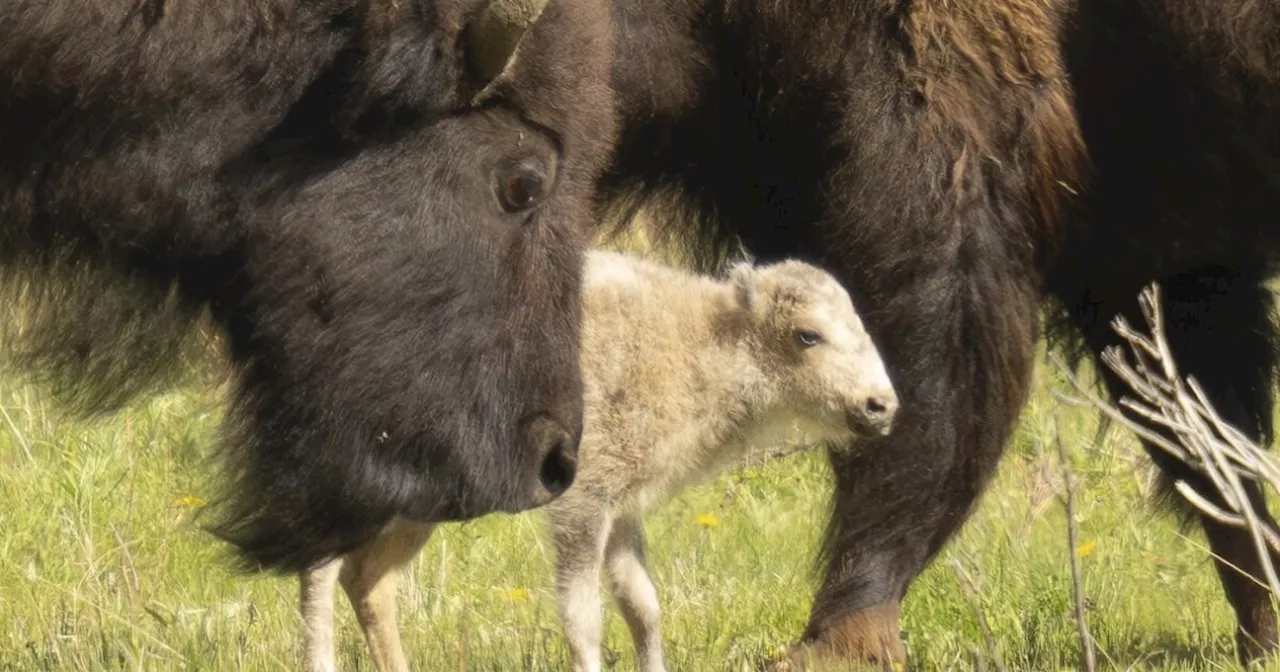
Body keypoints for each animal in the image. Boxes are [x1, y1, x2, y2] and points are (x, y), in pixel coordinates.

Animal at [299, 248, 901, 670]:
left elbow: (642, 605)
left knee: (368, 581)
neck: (703, 341)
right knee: (323, 571)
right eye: (808, 335)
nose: (882, 405)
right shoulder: (583, 507)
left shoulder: (623, 510)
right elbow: (583, 614)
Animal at [481, 0, 1280, 660]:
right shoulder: (1150, 264)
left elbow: (931, 398)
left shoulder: (942, 183)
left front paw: (836, 640)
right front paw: (1262, 621)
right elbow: (1206, 443)